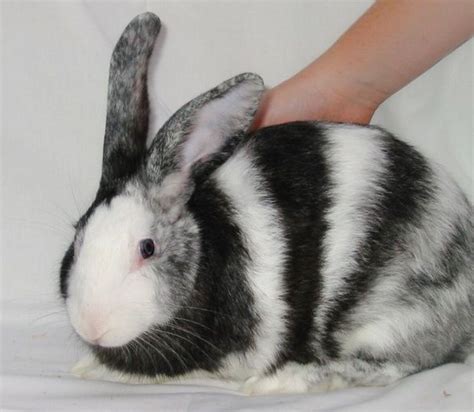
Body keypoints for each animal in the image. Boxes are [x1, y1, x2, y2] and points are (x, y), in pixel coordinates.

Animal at [61, 11, 472, 394]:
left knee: (392, 366)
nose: (91, 325)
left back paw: (281, 382)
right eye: (77, 239)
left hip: (393, 317)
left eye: (147, 248)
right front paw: (87, 366)